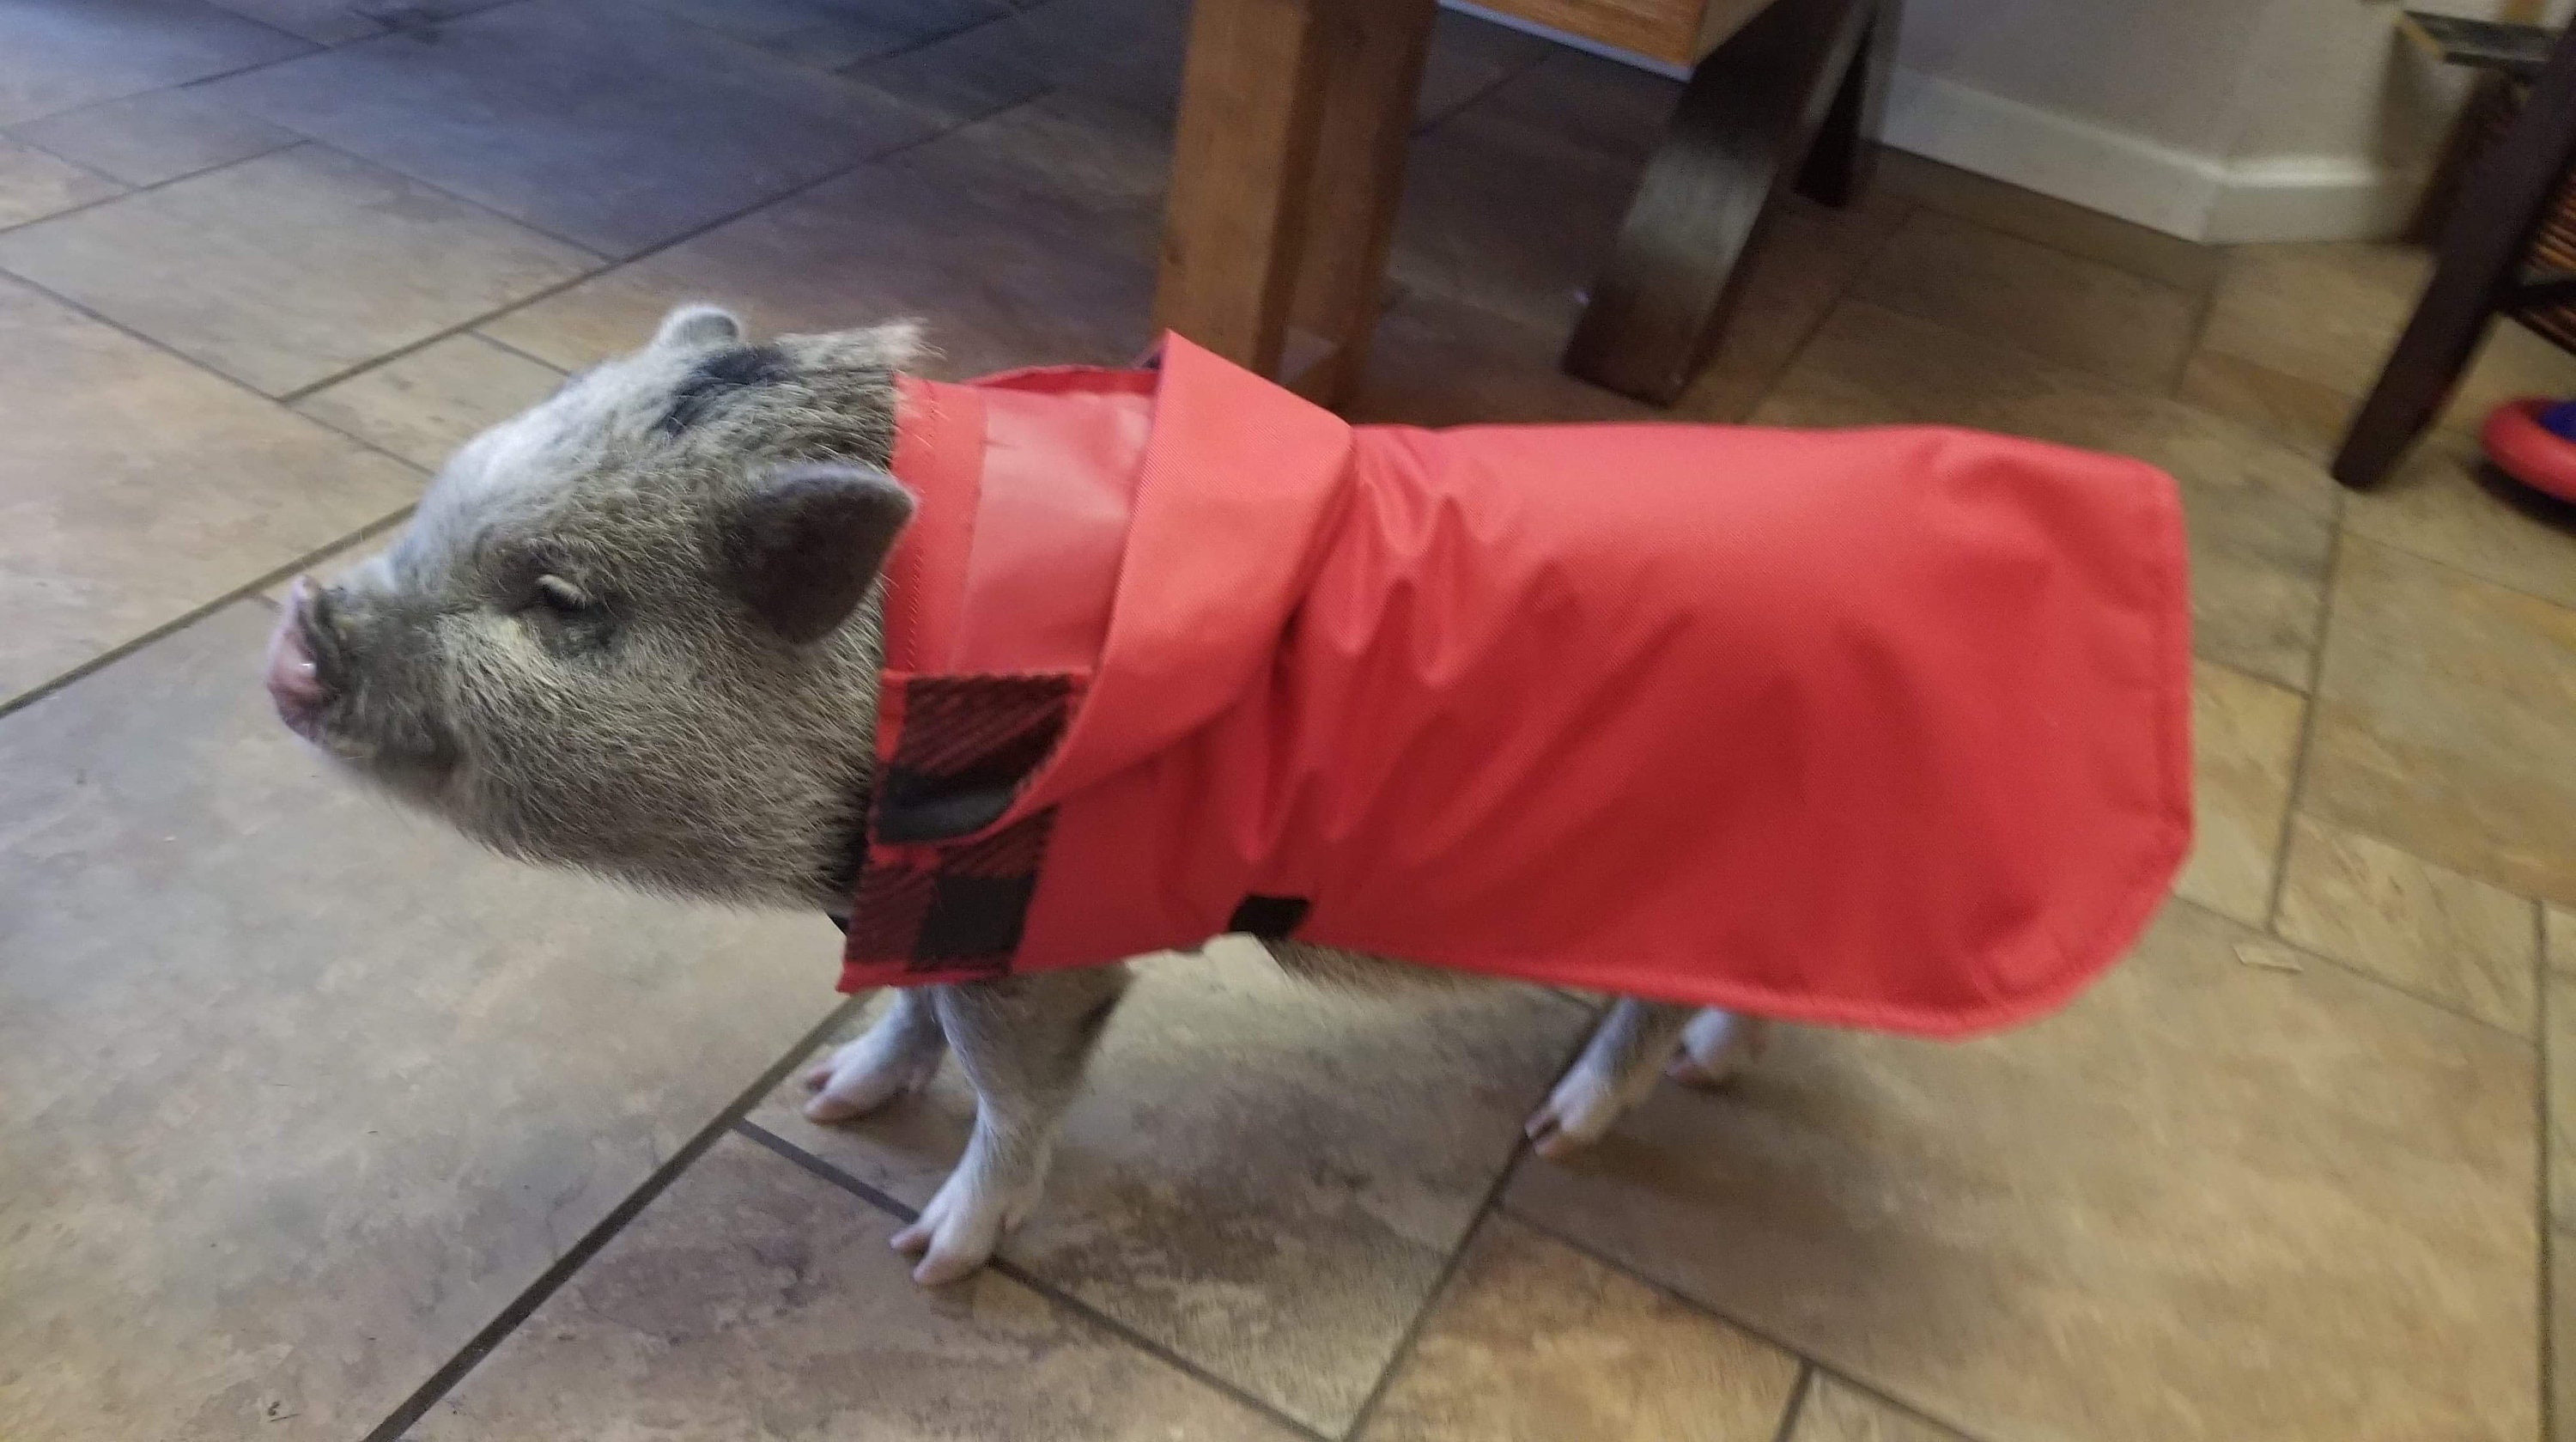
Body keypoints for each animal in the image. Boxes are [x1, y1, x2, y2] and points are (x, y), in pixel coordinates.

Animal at [264, 306, 1767, 1284]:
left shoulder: (1039, 928)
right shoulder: (922, 904)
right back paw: (1714, 1069)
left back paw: (1560, 1132)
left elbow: (1013, 1084)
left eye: (561, 602)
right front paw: (829, 1099)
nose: (298, 628)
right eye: (442, 497)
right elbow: (908, 1015)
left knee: (1648, 1010)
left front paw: (929, 1257)